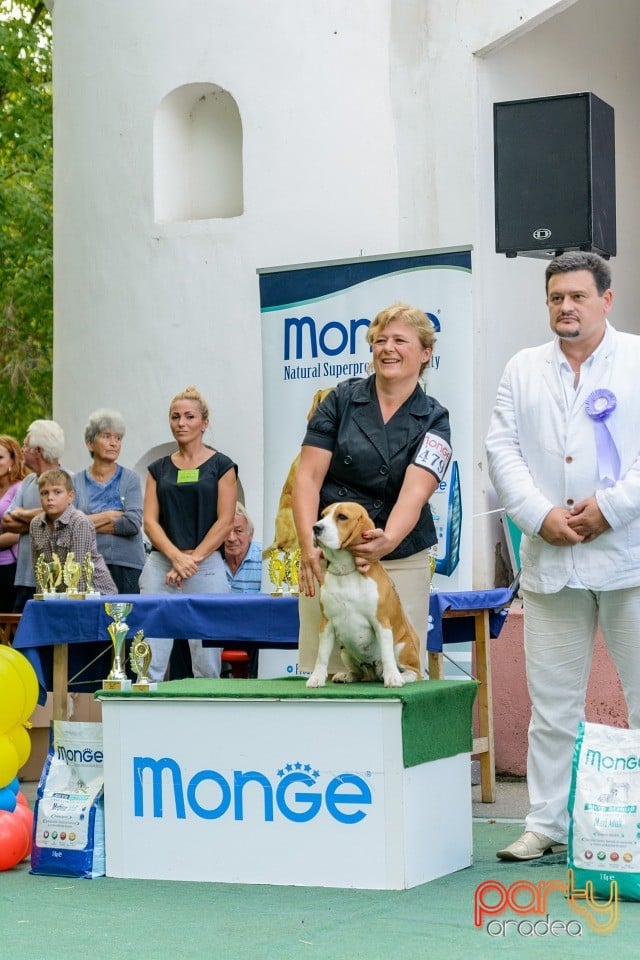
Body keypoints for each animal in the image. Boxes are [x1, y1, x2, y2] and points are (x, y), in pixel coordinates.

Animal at [306, 498, 422, 688]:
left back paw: (401, 676)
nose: (316, 528)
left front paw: (393, 678)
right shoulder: (327, 623)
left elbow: (387, 654)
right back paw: (347, 675)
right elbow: (321, 656)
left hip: (402, 646)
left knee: (415, 673)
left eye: (342, 517)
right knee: (359, 672)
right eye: (322, 515)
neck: (346, 571)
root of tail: (373, 672)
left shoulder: (381, 622)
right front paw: (316, 678)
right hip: (345, 651)